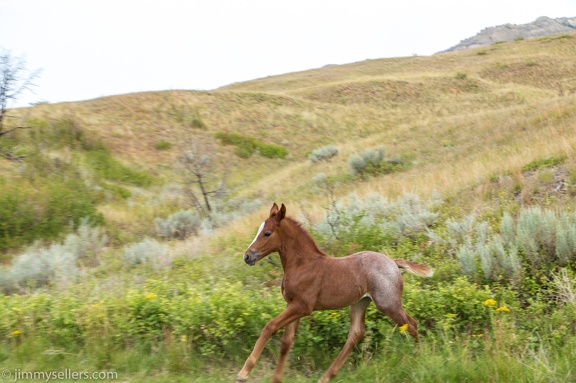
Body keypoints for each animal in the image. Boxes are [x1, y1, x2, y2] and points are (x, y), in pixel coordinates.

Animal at [237, 202, 432, 382]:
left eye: (267, 233)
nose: (247, 256)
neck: (302, 264)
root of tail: (393, 262)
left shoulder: (303, 306)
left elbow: (270, 326)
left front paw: (244, 373)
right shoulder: (292, 305)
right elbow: (287, 341)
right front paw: (275, 379)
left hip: (388, 303)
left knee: (411, 324)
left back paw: (421, 358)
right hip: (360, 302)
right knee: (356, 333)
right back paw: (326, 376)